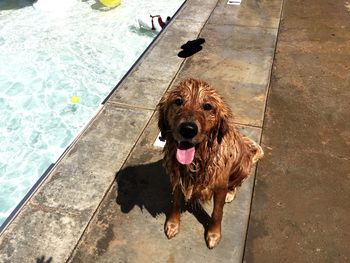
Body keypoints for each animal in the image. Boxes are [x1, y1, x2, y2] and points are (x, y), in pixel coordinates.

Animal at [157, 78, 262, 250]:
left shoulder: (219, 186)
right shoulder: (178, 178)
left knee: (236, 184)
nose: (188, 129)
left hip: (242, 167)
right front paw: (173, 224)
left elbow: (217, 213)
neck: (198, 158)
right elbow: (175, 202)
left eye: (207, 106)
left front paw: (213, 234)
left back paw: (231, 193)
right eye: (178, 101)